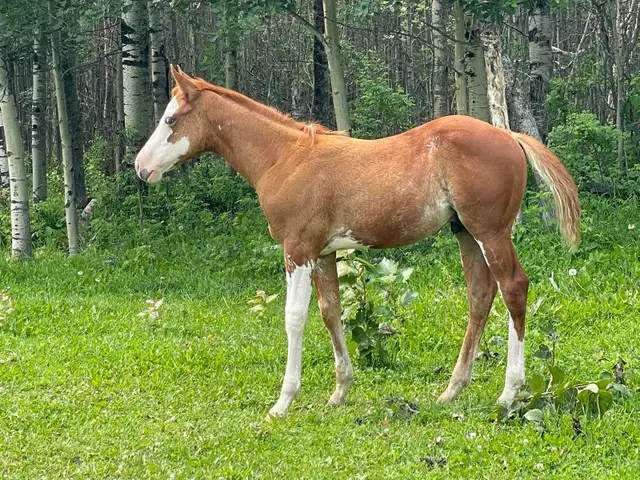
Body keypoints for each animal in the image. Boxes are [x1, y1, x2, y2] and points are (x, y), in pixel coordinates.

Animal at [135, 65, 580, 419]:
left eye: (170, 119)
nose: (140, 167)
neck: (285, 158)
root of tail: (509, 135)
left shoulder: (297, 250)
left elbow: (294, 318)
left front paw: (283, 402)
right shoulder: (324, 253)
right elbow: (331, 312)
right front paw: (339, 392)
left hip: (491, 232)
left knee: (513, 289)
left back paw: (508, 393)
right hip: (466, 234)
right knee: (480, 295)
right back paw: (452, 390)